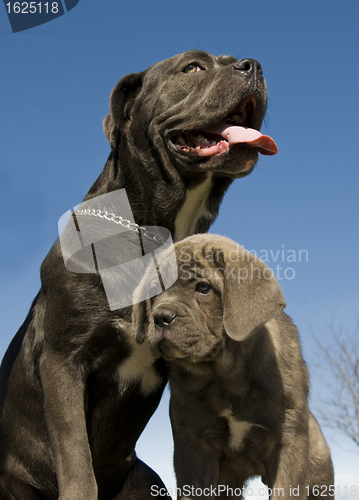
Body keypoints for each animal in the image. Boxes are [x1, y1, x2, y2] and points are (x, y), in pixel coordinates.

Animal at [134, 234, 336, 500]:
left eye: (204, 288)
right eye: (153, 292)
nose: (161, 317)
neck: (225, 376)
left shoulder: (288, 443)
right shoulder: (193, 445)